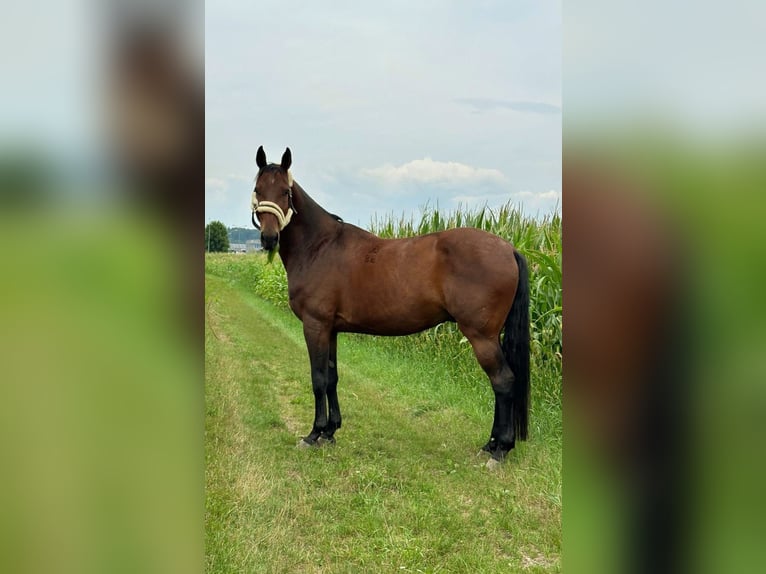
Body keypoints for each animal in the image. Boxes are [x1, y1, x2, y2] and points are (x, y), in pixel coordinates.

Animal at [255, 146, 532, 462]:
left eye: (285, 192)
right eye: (257, 189)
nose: (268, 238)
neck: (319, 247)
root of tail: (508, 248)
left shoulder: (315, 326)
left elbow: (318, 379)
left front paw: (314, 434)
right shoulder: (331, 330)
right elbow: (332, 377)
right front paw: (331, 431)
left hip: (481, 336)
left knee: (503, 382)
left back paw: (500, 449)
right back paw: (491, 444)